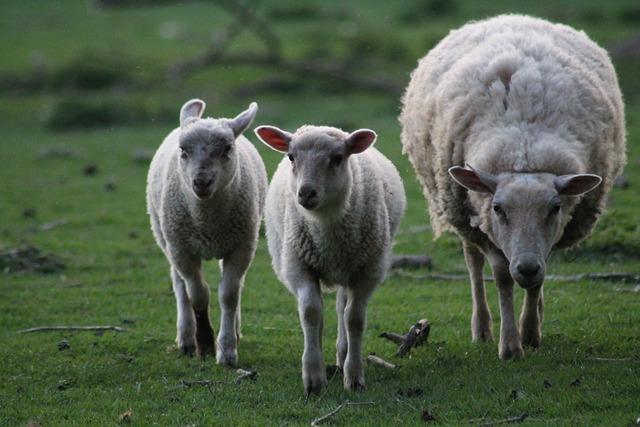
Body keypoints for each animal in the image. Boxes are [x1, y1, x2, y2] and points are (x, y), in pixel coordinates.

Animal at [146, 98, 266, 366]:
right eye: (183, 150)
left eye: (227, 148)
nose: (201, 182)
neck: (207, 221)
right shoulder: (181, 249)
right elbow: (198, 294)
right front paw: (206, 344)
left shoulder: (242, 246)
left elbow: (229, 295)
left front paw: (227, 350)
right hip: (165, 236)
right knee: (180, 285)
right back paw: (186, 339)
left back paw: (235, 332)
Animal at [254, 123, 404, 394]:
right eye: (291, 157)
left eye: (337, 158)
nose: (306, 193)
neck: (326, 227)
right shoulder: (298, 266)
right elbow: (311, 313)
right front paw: (314, 378)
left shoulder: (367, 271)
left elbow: (354, 319)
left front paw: (354, 376)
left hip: (349, 267)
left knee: (342, 307)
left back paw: (342, 355)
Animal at [400, 14, 624, 362]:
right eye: (498, 208)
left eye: (555, 208)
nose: (527, 267)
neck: (524, 149)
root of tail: (509, 16)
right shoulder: (485, 220)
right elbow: (503, 278)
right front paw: (509, 345)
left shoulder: (548, 235)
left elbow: (536, 281)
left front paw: (530, 331)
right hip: (463, 210)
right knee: (473, 263)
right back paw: (482, 328)